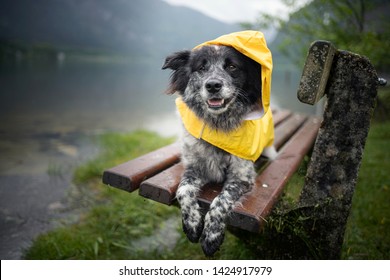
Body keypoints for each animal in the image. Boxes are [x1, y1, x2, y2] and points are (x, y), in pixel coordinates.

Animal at [162, 31, 278, 258]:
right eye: (201, 68)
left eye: (232, 66)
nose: (213, 85)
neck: (217, 125)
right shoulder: (195, 166)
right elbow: (183, 190)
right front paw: (192, 224)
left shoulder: (241, 177)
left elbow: (220, 201)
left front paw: (211, 237)